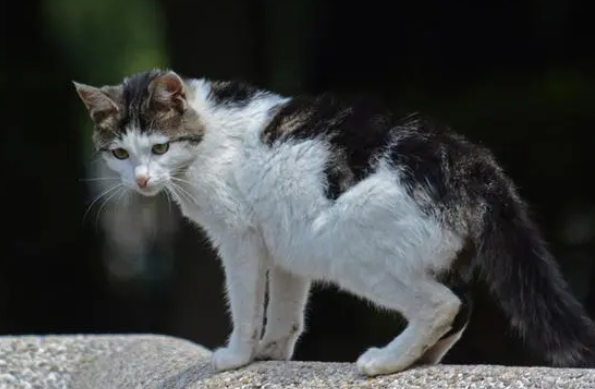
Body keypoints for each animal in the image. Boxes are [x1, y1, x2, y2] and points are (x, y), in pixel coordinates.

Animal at [73, 68, 595, 374]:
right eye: (120, 154)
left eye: (160, 147)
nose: (141, 180)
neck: (206, 134)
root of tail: (472, 160)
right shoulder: (284, 245)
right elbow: (285, 309)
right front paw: (272, 353)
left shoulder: (241, 239)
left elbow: (245, 304)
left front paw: (237, 356)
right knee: (462, 306)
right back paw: (418, 359)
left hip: (344, 243)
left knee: (443, 304)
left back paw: (384, 362)